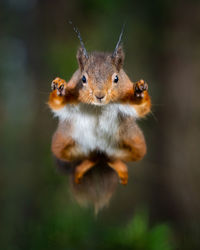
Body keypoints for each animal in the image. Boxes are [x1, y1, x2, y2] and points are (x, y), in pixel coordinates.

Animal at [48, 28, 151, 186]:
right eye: (83, 79)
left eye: (116, 78)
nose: (99, 95)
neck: (98, 106)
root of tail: (99, 151)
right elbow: (56, 104)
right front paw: (60, 88)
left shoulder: (125, 92)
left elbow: (143, 107)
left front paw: (139, 91)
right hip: (61, 143)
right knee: (88, 156)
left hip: (135, 142)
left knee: (113, 156)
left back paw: (116, 165)